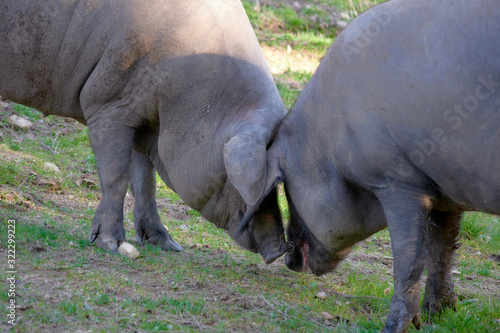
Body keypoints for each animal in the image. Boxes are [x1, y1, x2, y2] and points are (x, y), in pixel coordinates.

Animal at [0, 0, 292, 262]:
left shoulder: (145, 121)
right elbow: (116, 177)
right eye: (257, 187)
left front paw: (169, 245)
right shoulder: (109, 103)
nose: (282, 249)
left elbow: (145, 184)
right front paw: (110, 245)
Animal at [249, 0, 496, 330]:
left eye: (287, 189)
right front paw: (438, 315)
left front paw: (394, 327)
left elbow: (409, 261)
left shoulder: (398, 182)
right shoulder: (444, 192)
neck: (329, 138)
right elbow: (442, 248)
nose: (289, 261)